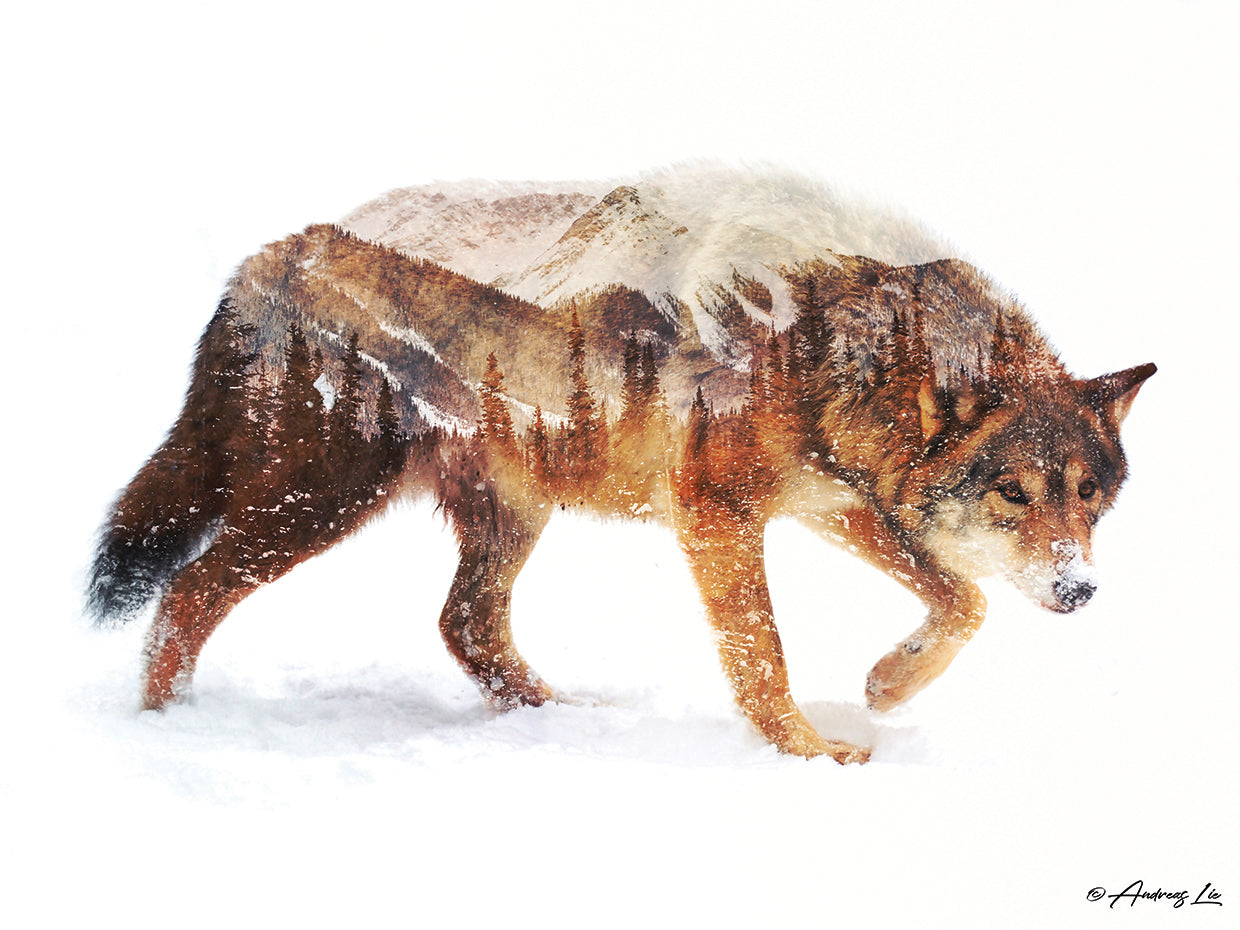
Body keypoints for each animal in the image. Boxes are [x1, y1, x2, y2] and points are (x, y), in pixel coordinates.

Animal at [88, 168, 1154, 762]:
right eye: (1013, 493)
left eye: (1090, 501)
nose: (1080, 591)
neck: (826, 333)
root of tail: (264, 259)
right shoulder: (717, 513)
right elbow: (762, 655)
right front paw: (811, 755)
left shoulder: (831, 503)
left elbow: (962, 601)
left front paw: (888, 687)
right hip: (316, 506)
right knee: (185, 592)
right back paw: (169, 730)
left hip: (508, 515)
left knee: (464, 624)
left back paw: (564, 718)